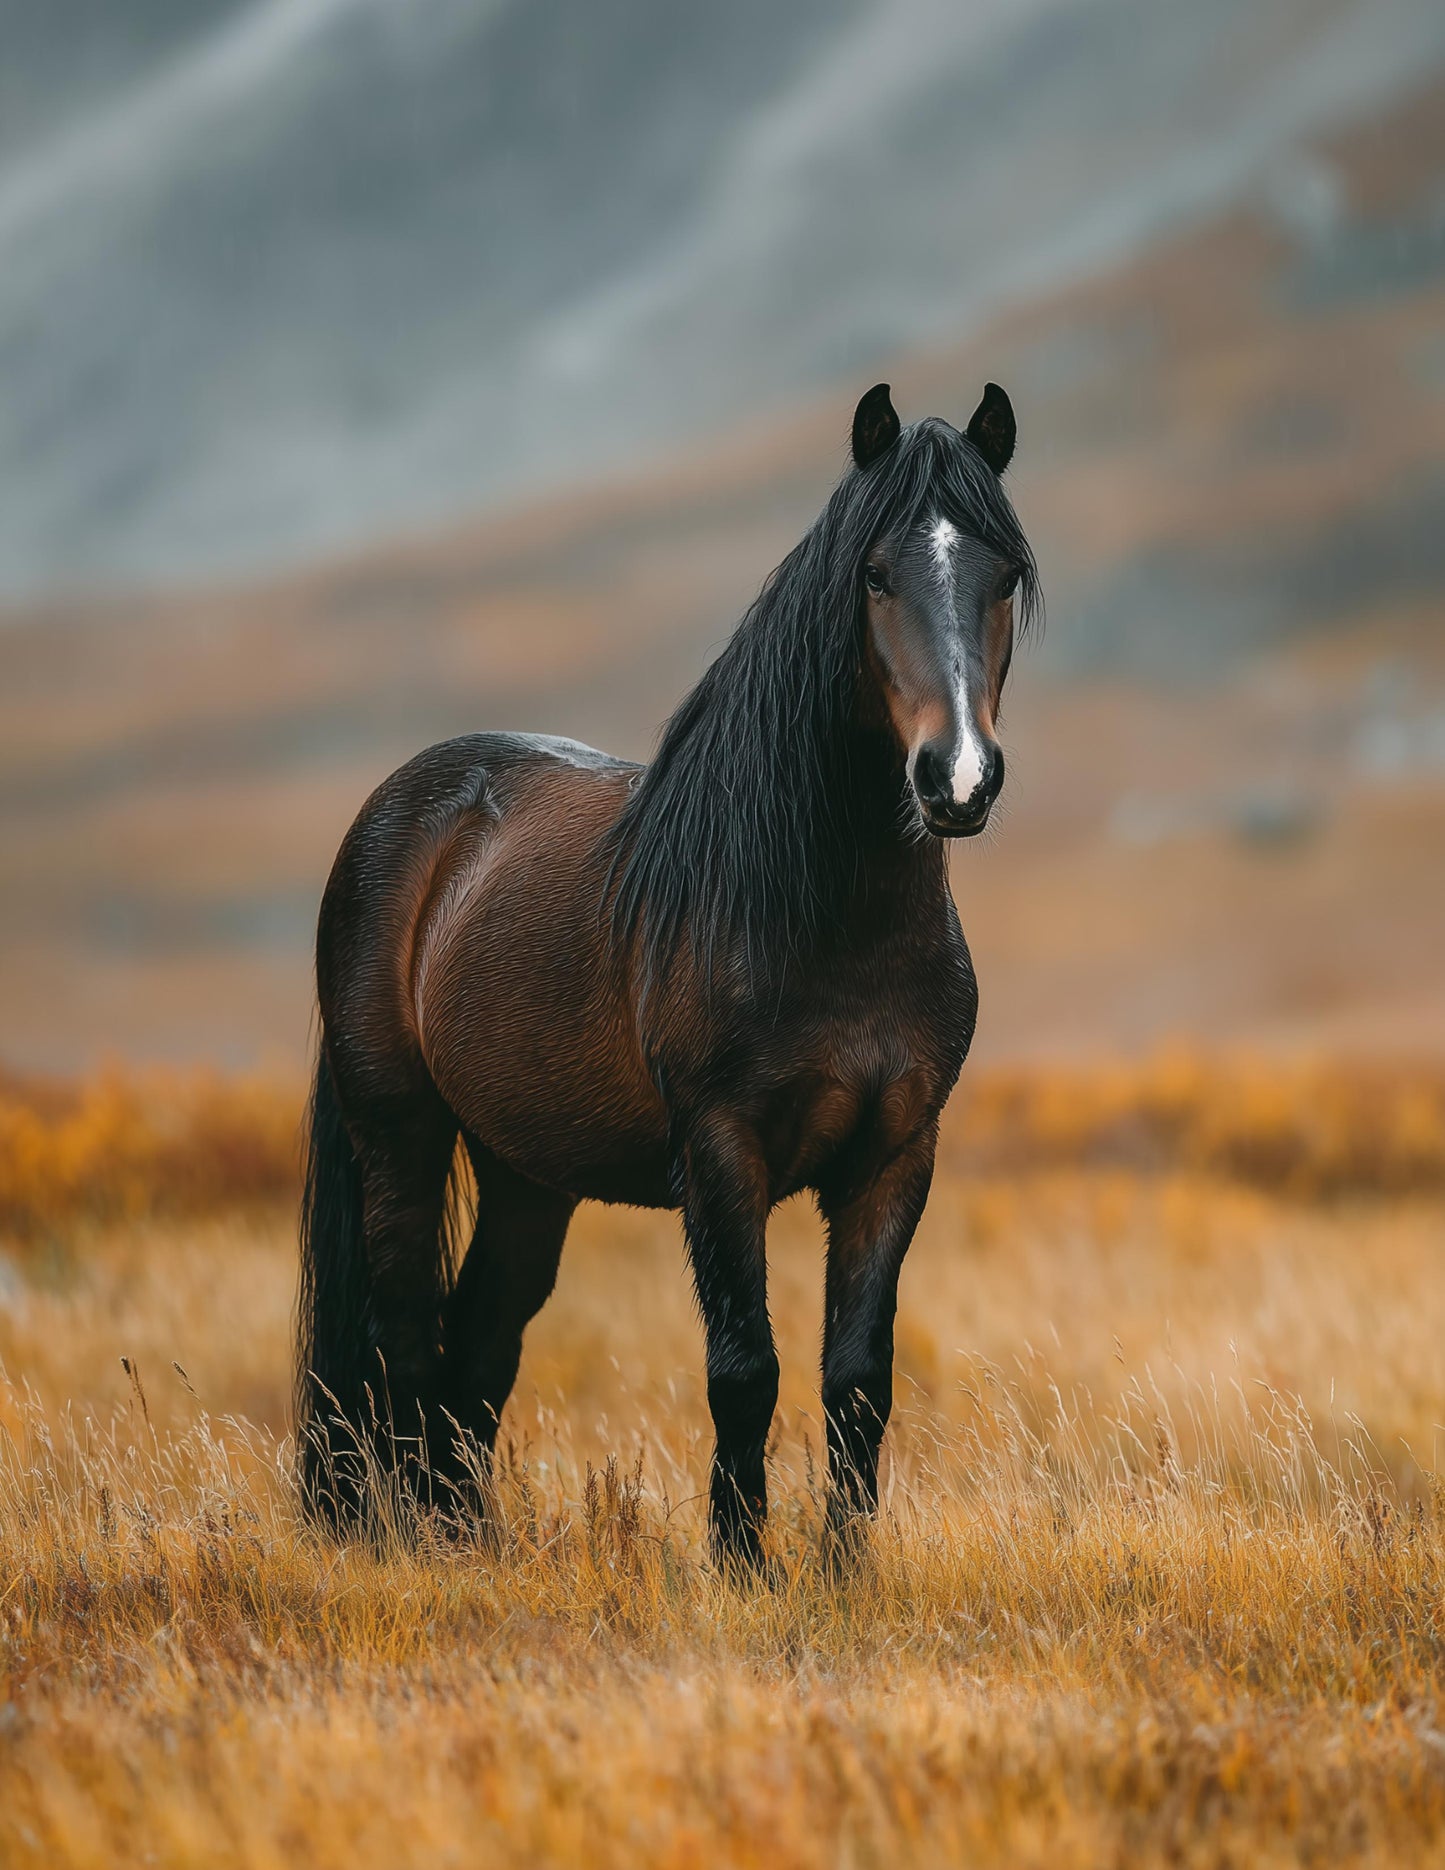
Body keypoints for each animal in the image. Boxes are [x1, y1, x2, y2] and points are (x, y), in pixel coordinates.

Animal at [297, 381, 1040, 1565]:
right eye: (874, 573)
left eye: (1002, 572)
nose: (956, 778)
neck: (826, 918)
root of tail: (399, 809)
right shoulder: (722, 1152)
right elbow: (744, 1372)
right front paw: (740, 1565)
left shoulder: (893, 1159)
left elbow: (856, 1382)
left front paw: (843, 1573)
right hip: (399, 1132)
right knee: (403, 1337)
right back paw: (421, 1543)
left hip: (526, 1173)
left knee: (479, 1343)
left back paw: (474, 1538)